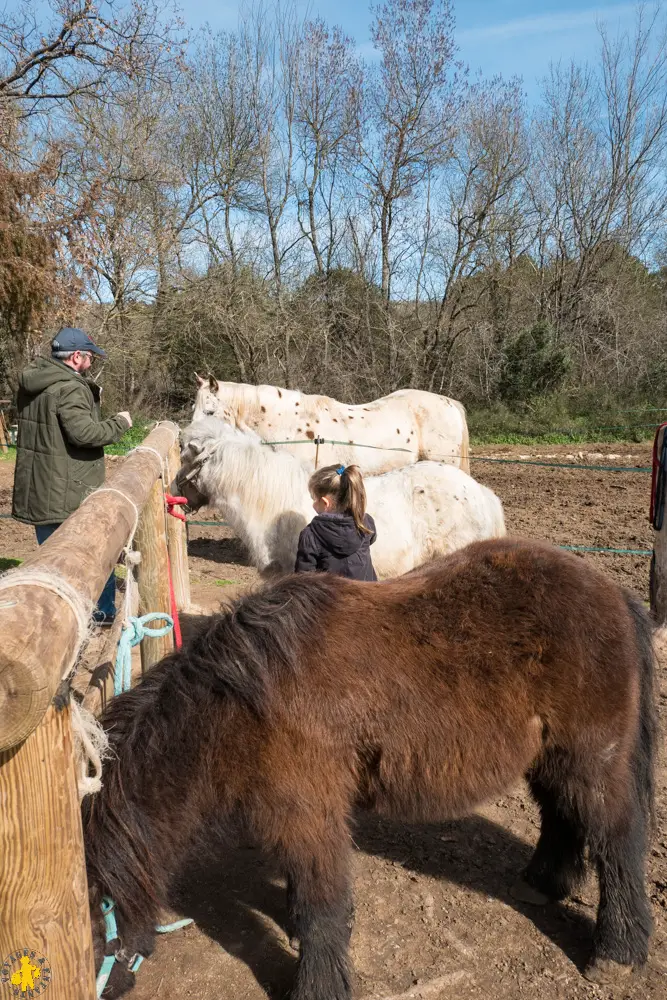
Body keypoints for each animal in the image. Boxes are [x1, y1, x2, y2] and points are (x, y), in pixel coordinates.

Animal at [83, 540, 656, 1000]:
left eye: (92, 904)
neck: (242, 700)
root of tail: (613, 593)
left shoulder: (308, 814)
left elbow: (321, 904)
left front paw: (317, 985)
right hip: (552, 758)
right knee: (563, 817)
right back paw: (542, 884)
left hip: (593, 759)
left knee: (617, 841)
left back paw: (617, 953)